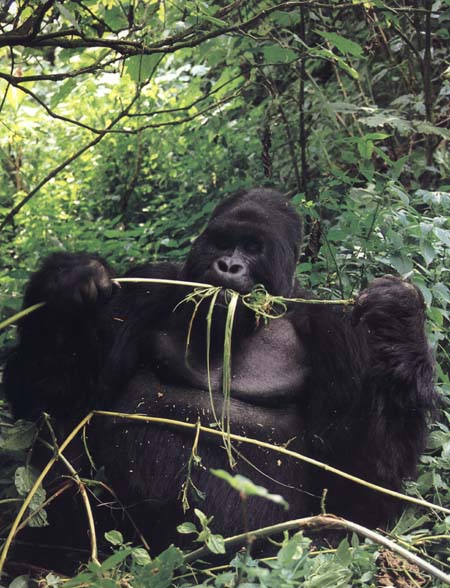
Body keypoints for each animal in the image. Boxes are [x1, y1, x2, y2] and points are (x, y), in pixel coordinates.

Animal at [3, 187, 436, 560]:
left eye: (253, 248)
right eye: (223, 242)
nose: (228, 265)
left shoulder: (336, 332)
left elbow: (361, 485)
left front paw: (398, 320)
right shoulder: (144, 289)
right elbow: (56, 400)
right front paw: (67, 283)